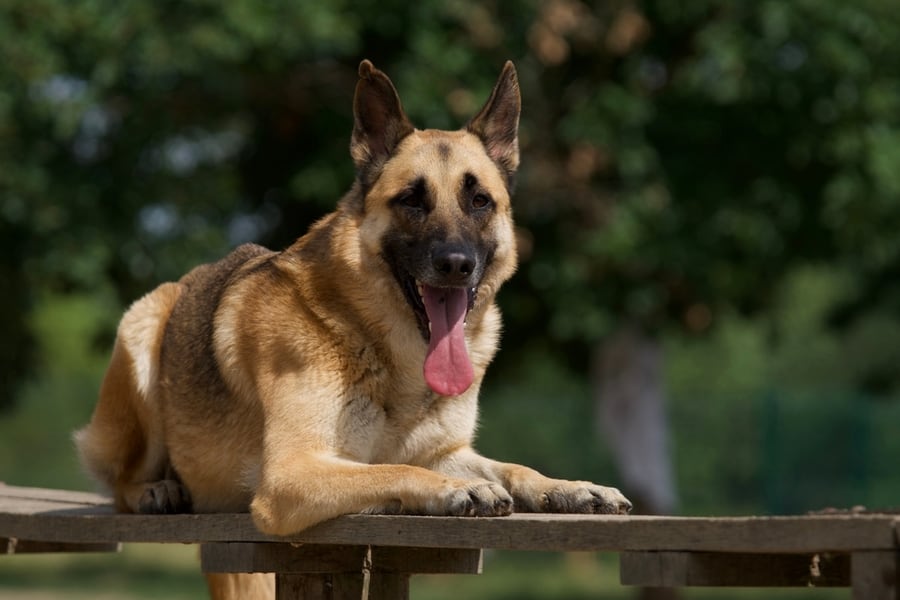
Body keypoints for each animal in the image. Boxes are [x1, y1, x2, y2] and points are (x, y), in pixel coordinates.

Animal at [74, 59, 628, 596]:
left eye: (480, 201)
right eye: (411, 200)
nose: (456, 264)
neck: (385, 347)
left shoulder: (446, 452)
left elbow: (512, 468)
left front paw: (570, 487)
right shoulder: (293, 473)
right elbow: (393, 468)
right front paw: (453, 490)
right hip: (142, 329)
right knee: (120, 482)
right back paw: (156, 488)